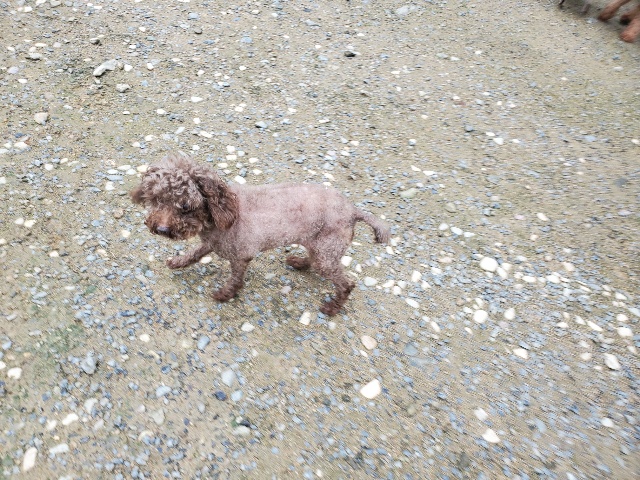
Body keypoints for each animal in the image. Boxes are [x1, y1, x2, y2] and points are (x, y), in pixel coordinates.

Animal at [130, 152, 390, 316]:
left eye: (185, 206)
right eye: (156, 199)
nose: (161, 229)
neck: (222, 215)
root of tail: (353, 210)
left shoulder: (241, 255)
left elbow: (236, 279)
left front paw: (225, 294)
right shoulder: (211, 243)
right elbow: (195, 253)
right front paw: (178, 262)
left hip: (327, 250)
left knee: (346, 284)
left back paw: (332, 308)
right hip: (319, 246)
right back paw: (299, 262)